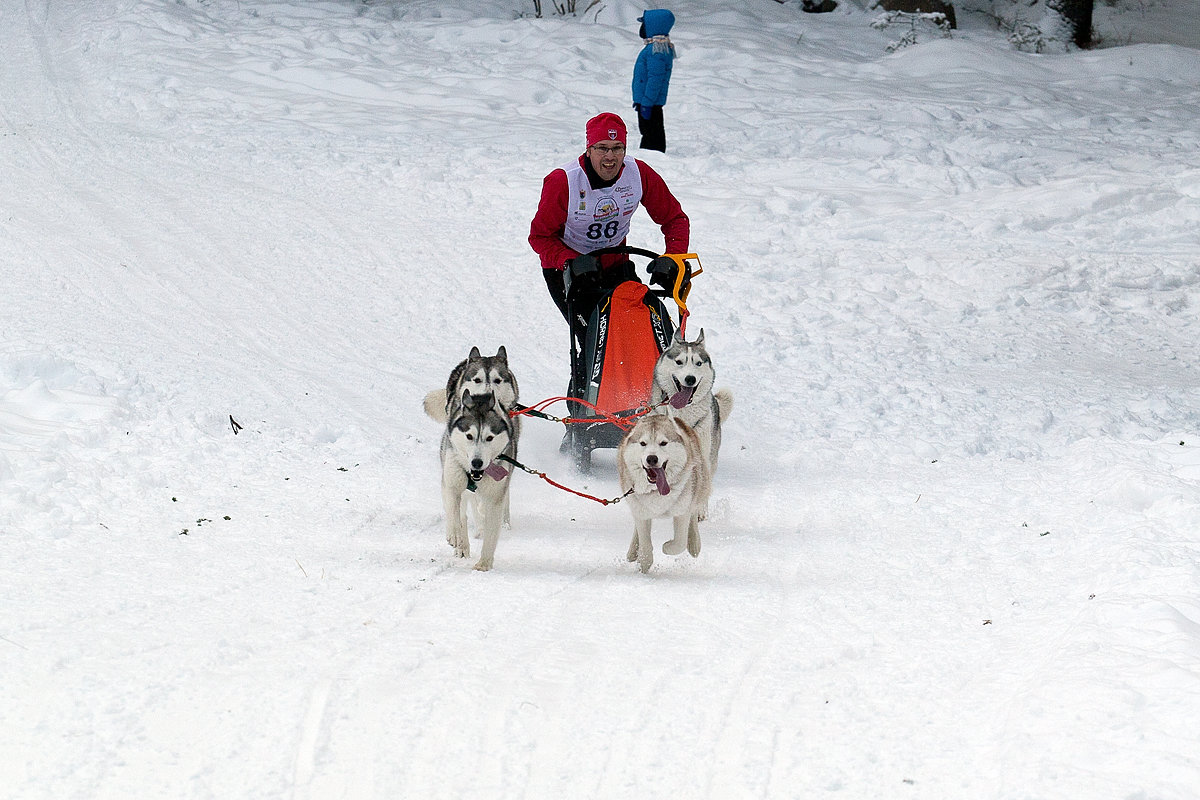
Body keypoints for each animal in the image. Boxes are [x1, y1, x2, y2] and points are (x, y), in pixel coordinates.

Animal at [439, 391, 518, 573]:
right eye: (469, 436)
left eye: (489, 437)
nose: (476, 462)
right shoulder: (452, 484)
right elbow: (454, 513)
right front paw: (455, 535)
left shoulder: (495, 497)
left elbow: (491, 531)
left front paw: (484, 563)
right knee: (461, 514)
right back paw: (461, 544)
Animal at [619, 412, 710, 575]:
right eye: (643, 443)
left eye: (663, 443)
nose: (651, 458)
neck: (656, 490)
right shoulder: (641, 512)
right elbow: (645, 545)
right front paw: (643, 567)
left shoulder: (682, 512)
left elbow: (679, 543)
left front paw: (667, 547)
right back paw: (633, 552)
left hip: (699, 485)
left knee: (693, 514)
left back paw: (694, 543)